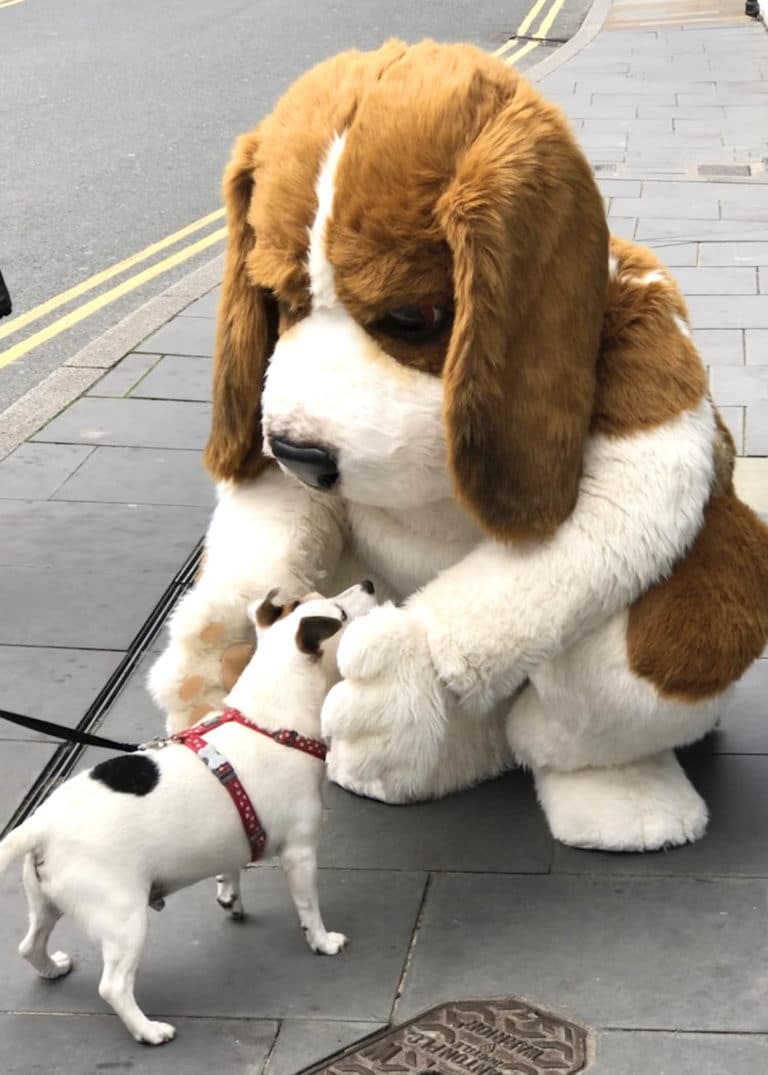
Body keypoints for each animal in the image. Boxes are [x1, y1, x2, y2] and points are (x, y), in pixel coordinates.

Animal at [0, 584, 374, 1044]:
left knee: (29, 945)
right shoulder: (300, 854)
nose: (369, 585)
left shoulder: (236, 832)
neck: (268, 721)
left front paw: (230, 895)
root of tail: (42, 824)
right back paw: (148, 1030)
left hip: (47, 901)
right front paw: (322, 942)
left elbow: (231, 866)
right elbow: (309, 907)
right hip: (124, 918)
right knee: (113, 986)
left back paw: (52, 968)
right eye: (340, 613)